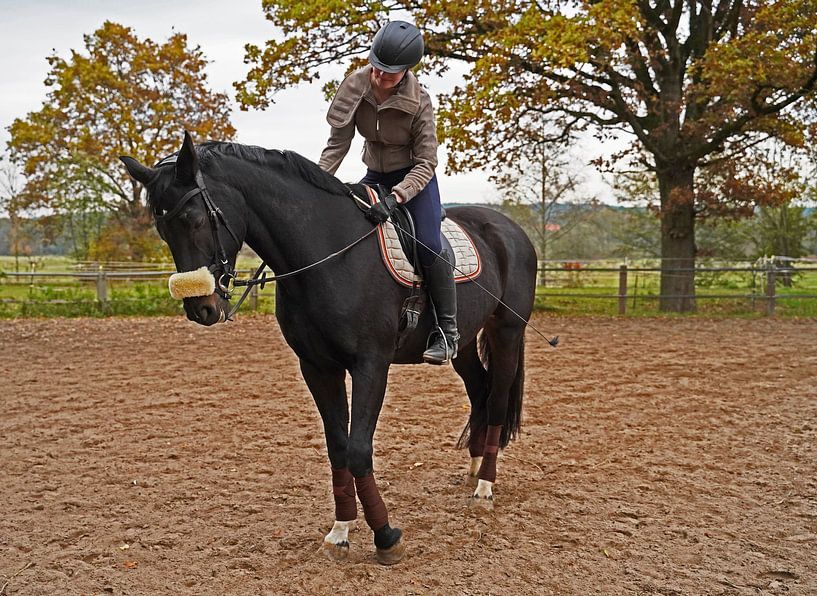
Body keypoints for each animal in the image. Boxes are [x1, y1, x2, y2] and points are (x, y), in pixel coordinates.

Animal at [120, 131, 538, 565]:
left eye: (195, 219)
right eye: (163, 230)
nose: (200, 307)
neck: (327, 253)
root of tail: (509, 229)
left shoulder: (371, 365)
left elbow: (358, 449)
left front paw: (385, 536)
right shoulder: (318, 367)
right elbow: (337, 448)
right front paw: (340, 531)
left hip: (507, 332)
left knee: (497, 398)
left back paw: (485, 487)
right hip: (466, 343)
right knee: (479, 390)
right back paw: (474, 468)